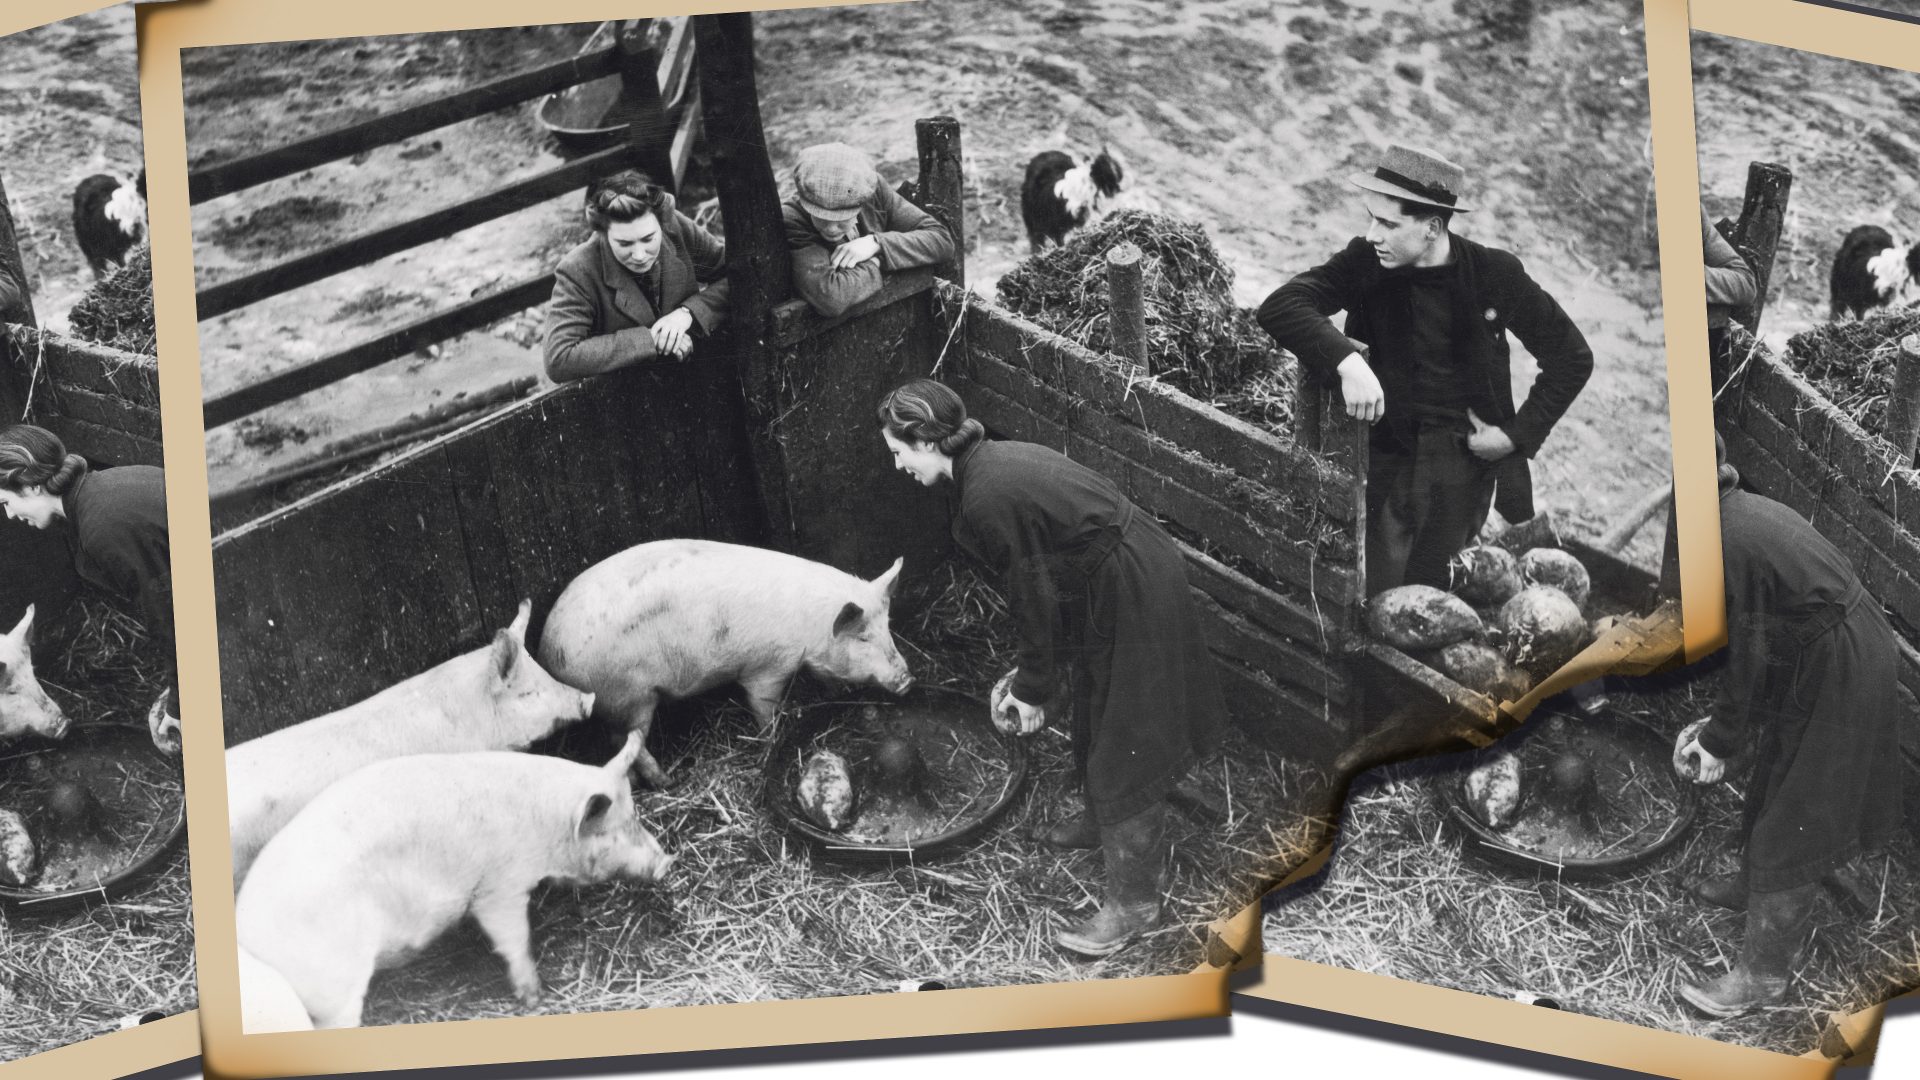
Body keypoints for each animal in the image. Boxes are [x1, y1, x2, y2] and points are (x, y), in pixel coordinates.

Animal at [234, 730, 675, 1022]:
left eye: (637, 815)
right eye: (616, 828)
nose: (666, 861)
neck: (546, 823)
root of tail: (248, 936)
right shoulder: (499, 887)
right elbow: (513, 937)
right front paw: (534, 998)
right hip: (335, 986)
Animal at [529, 534, 910, 780]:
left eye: (888, 627)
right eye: (862, 637)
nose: (908, 678)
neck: (812, 627)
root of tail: (548, 652)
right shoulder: (766, 668)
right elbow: (764, 707)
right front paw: (770, 737)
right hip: (630, 696)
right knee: (628, 741)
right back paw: (666, 781)